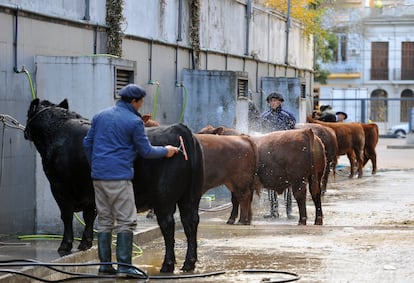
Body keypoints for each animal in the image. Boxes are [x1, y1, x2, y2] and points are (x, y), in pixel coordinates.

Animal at [23, 98, 204, 274]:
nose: (25, 133)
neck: (58, 132)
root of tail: (180, 130)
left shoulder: (59, 188)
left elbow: (66, 216)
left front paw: (65, 245)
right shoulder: (91, 192)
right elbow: (90, 216)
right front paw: (85, 243)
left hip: (164, 198)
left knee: (168, 225)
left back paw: (167, 265)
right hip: (191, 197)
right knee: (190, 222)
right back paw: (189, 263)